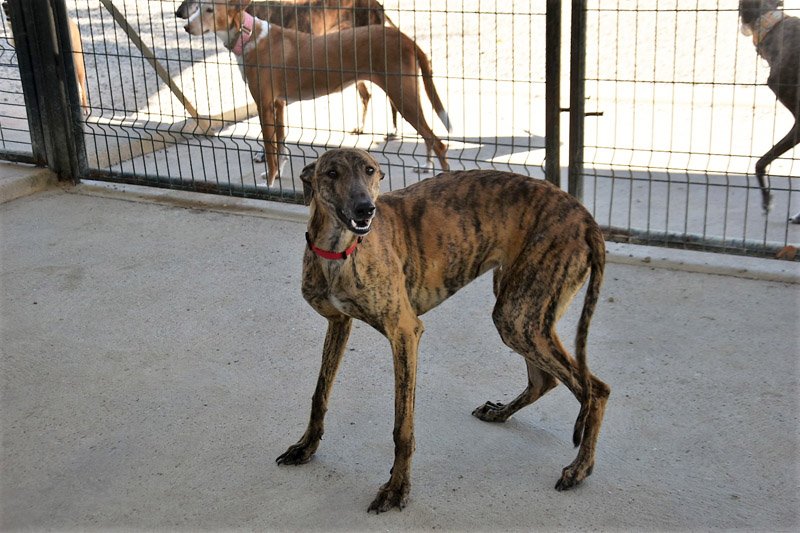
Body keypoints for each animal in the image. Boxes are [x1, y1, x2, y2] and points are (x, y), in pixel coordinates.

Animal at [276, 148, 611, 513]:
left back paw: (580, 468)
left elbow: (402, 427)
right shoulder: (339, 323)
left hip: (519, 314)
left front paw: (397, 488)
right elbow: (320, 394)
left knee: (595, 390)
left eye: (371, 171)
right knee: (547, 380)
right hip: (521, 311)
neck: (341, 251)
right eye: (332, 173)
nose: (366, 209)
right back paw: (501, 414)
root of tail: (585, 217)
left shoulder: (405, 332)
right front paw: (306, 447)